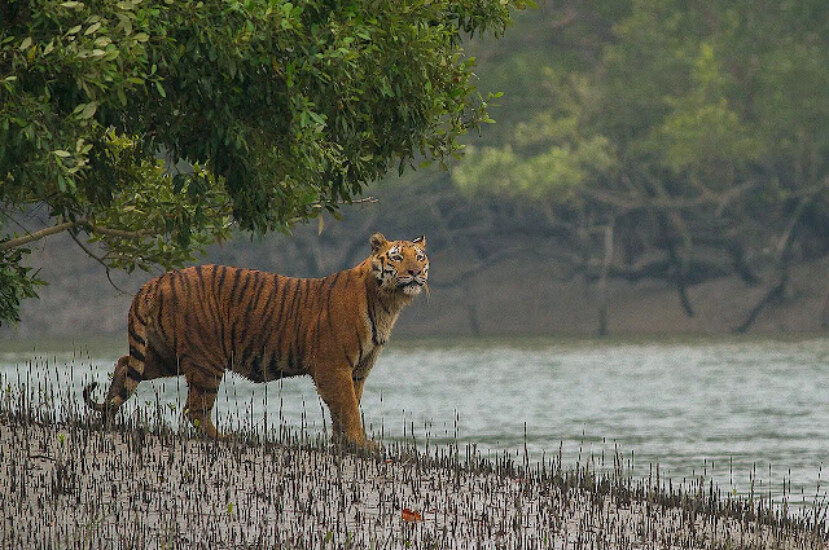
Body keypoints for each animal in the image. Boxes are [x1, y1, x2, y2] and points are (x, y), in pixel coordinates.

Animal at [83, 233, 426, 448]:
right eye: (397, 257)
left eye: (420, 257)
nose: (415, 272)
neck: (387, 303)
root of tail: (156, 280)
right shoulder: (334, 367)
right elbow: (348, 408)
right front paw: (361, 444)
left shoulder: (358, 370)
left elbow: (347, 407)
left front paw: (345, 443)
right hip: (206, 359)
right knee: (195, 409)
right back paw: (224, 438)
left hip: (167, 354)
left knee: (125, 363)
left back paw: (108, 415)